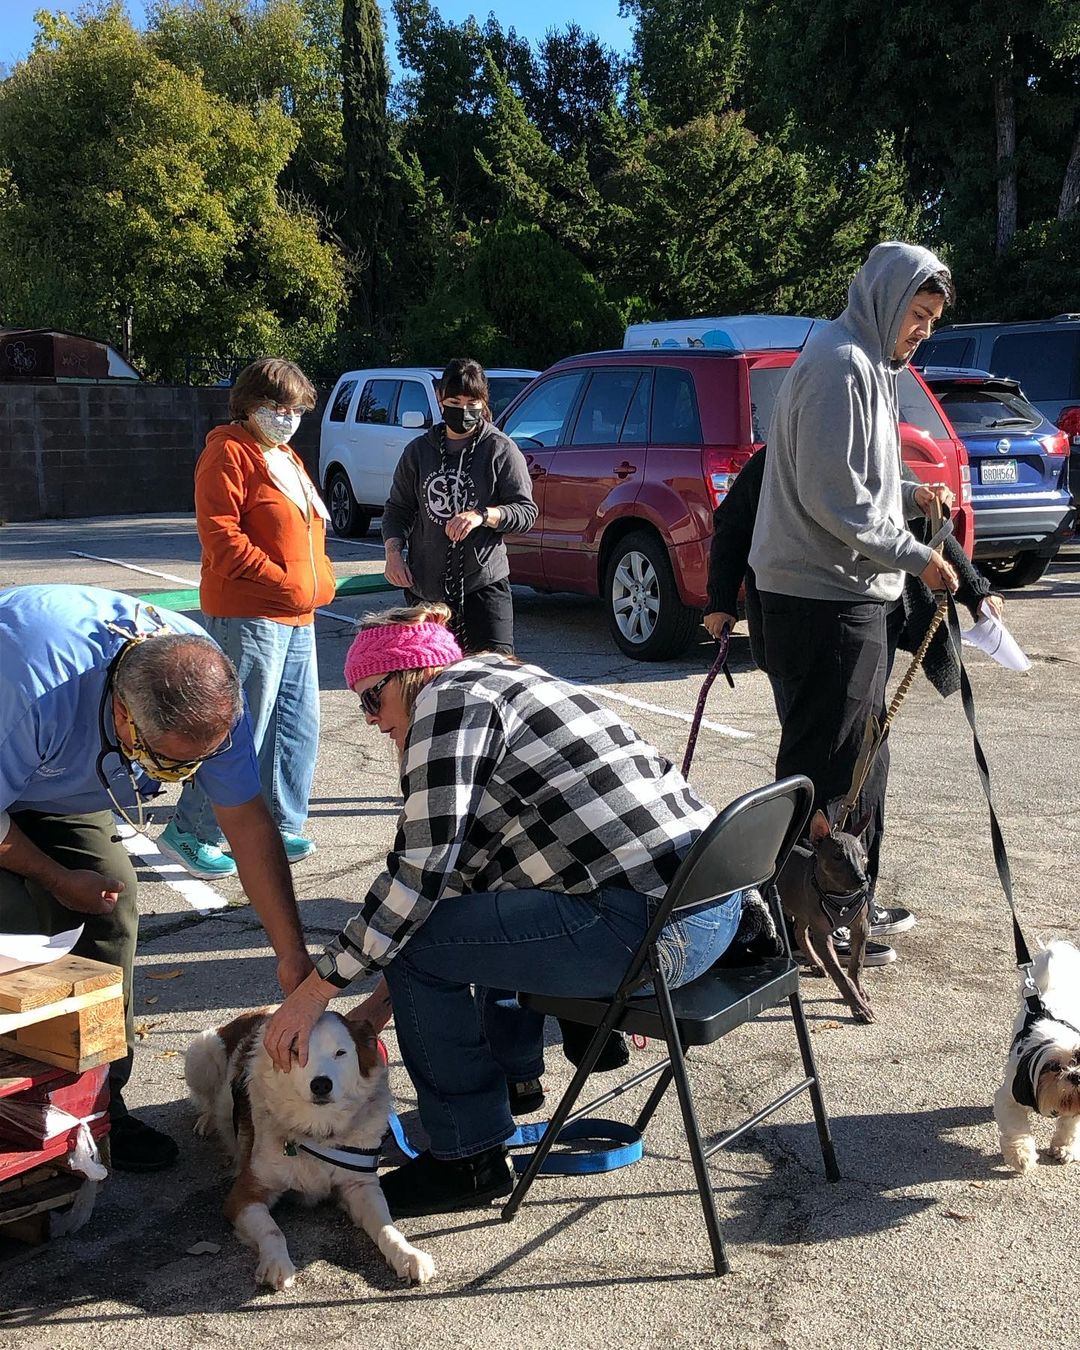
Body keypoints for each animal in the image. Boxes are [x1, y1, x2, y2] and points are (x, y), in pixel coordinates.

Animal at [186, 1009, 434, 1290]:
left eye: (340, 1052)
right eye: (296, 1052)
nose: (321, 1084)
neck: (316, 1131)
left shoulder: (360, 1186)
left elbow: (386, 1227)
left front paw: (407, 1254)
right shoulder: (244, 1194)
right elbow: (273, 1230)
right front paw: (276, 1263)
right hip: (202, 1052)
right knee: (208, 1100)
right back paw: (208, 1121)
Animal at [993, 939, 1080, 1171]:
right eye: (1055, 1067)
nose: (1076, 1075)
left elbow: (1070, 1124)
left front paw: (1065, 1148)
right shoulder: (1010, 1098)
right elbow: (1016, 1130)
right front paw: (1021, 1157)